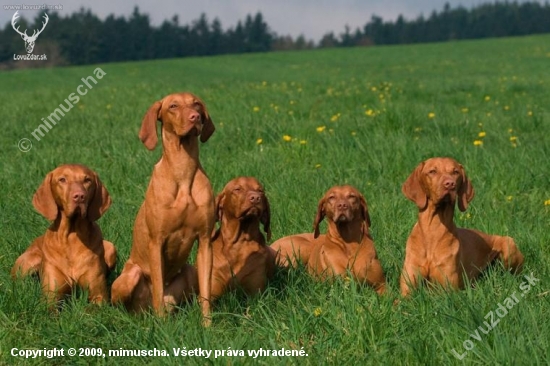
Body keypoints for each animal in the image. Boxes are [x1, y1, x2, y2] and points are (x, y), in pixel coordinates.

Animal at [11, 164, 116, 304]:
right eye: (62, 180)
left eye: (87, 180)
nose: (79, 196)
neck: (71, 236)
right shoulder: (50, 297)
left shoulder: (99, 296)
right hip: (30, 261)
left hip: (111, 247)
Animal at [110, 92, 216, 324]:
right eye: (173, 106)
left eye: (196, 104)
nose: (195, 117)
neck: (183, 171)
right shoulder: (156, 243)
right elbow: (158, 289)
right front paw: (162, 328)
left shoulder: (205, 241)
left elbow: (206, 293)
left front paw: (208, 326)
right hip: (130, 276)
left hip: (190, 271)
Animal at [402, 156, 528, 296]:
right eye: (432, 171)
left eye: (455, 172)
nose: (450, 184)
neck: (433, 230)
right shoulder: (407, 289)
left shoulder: (447, 290)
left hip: (508, 244)